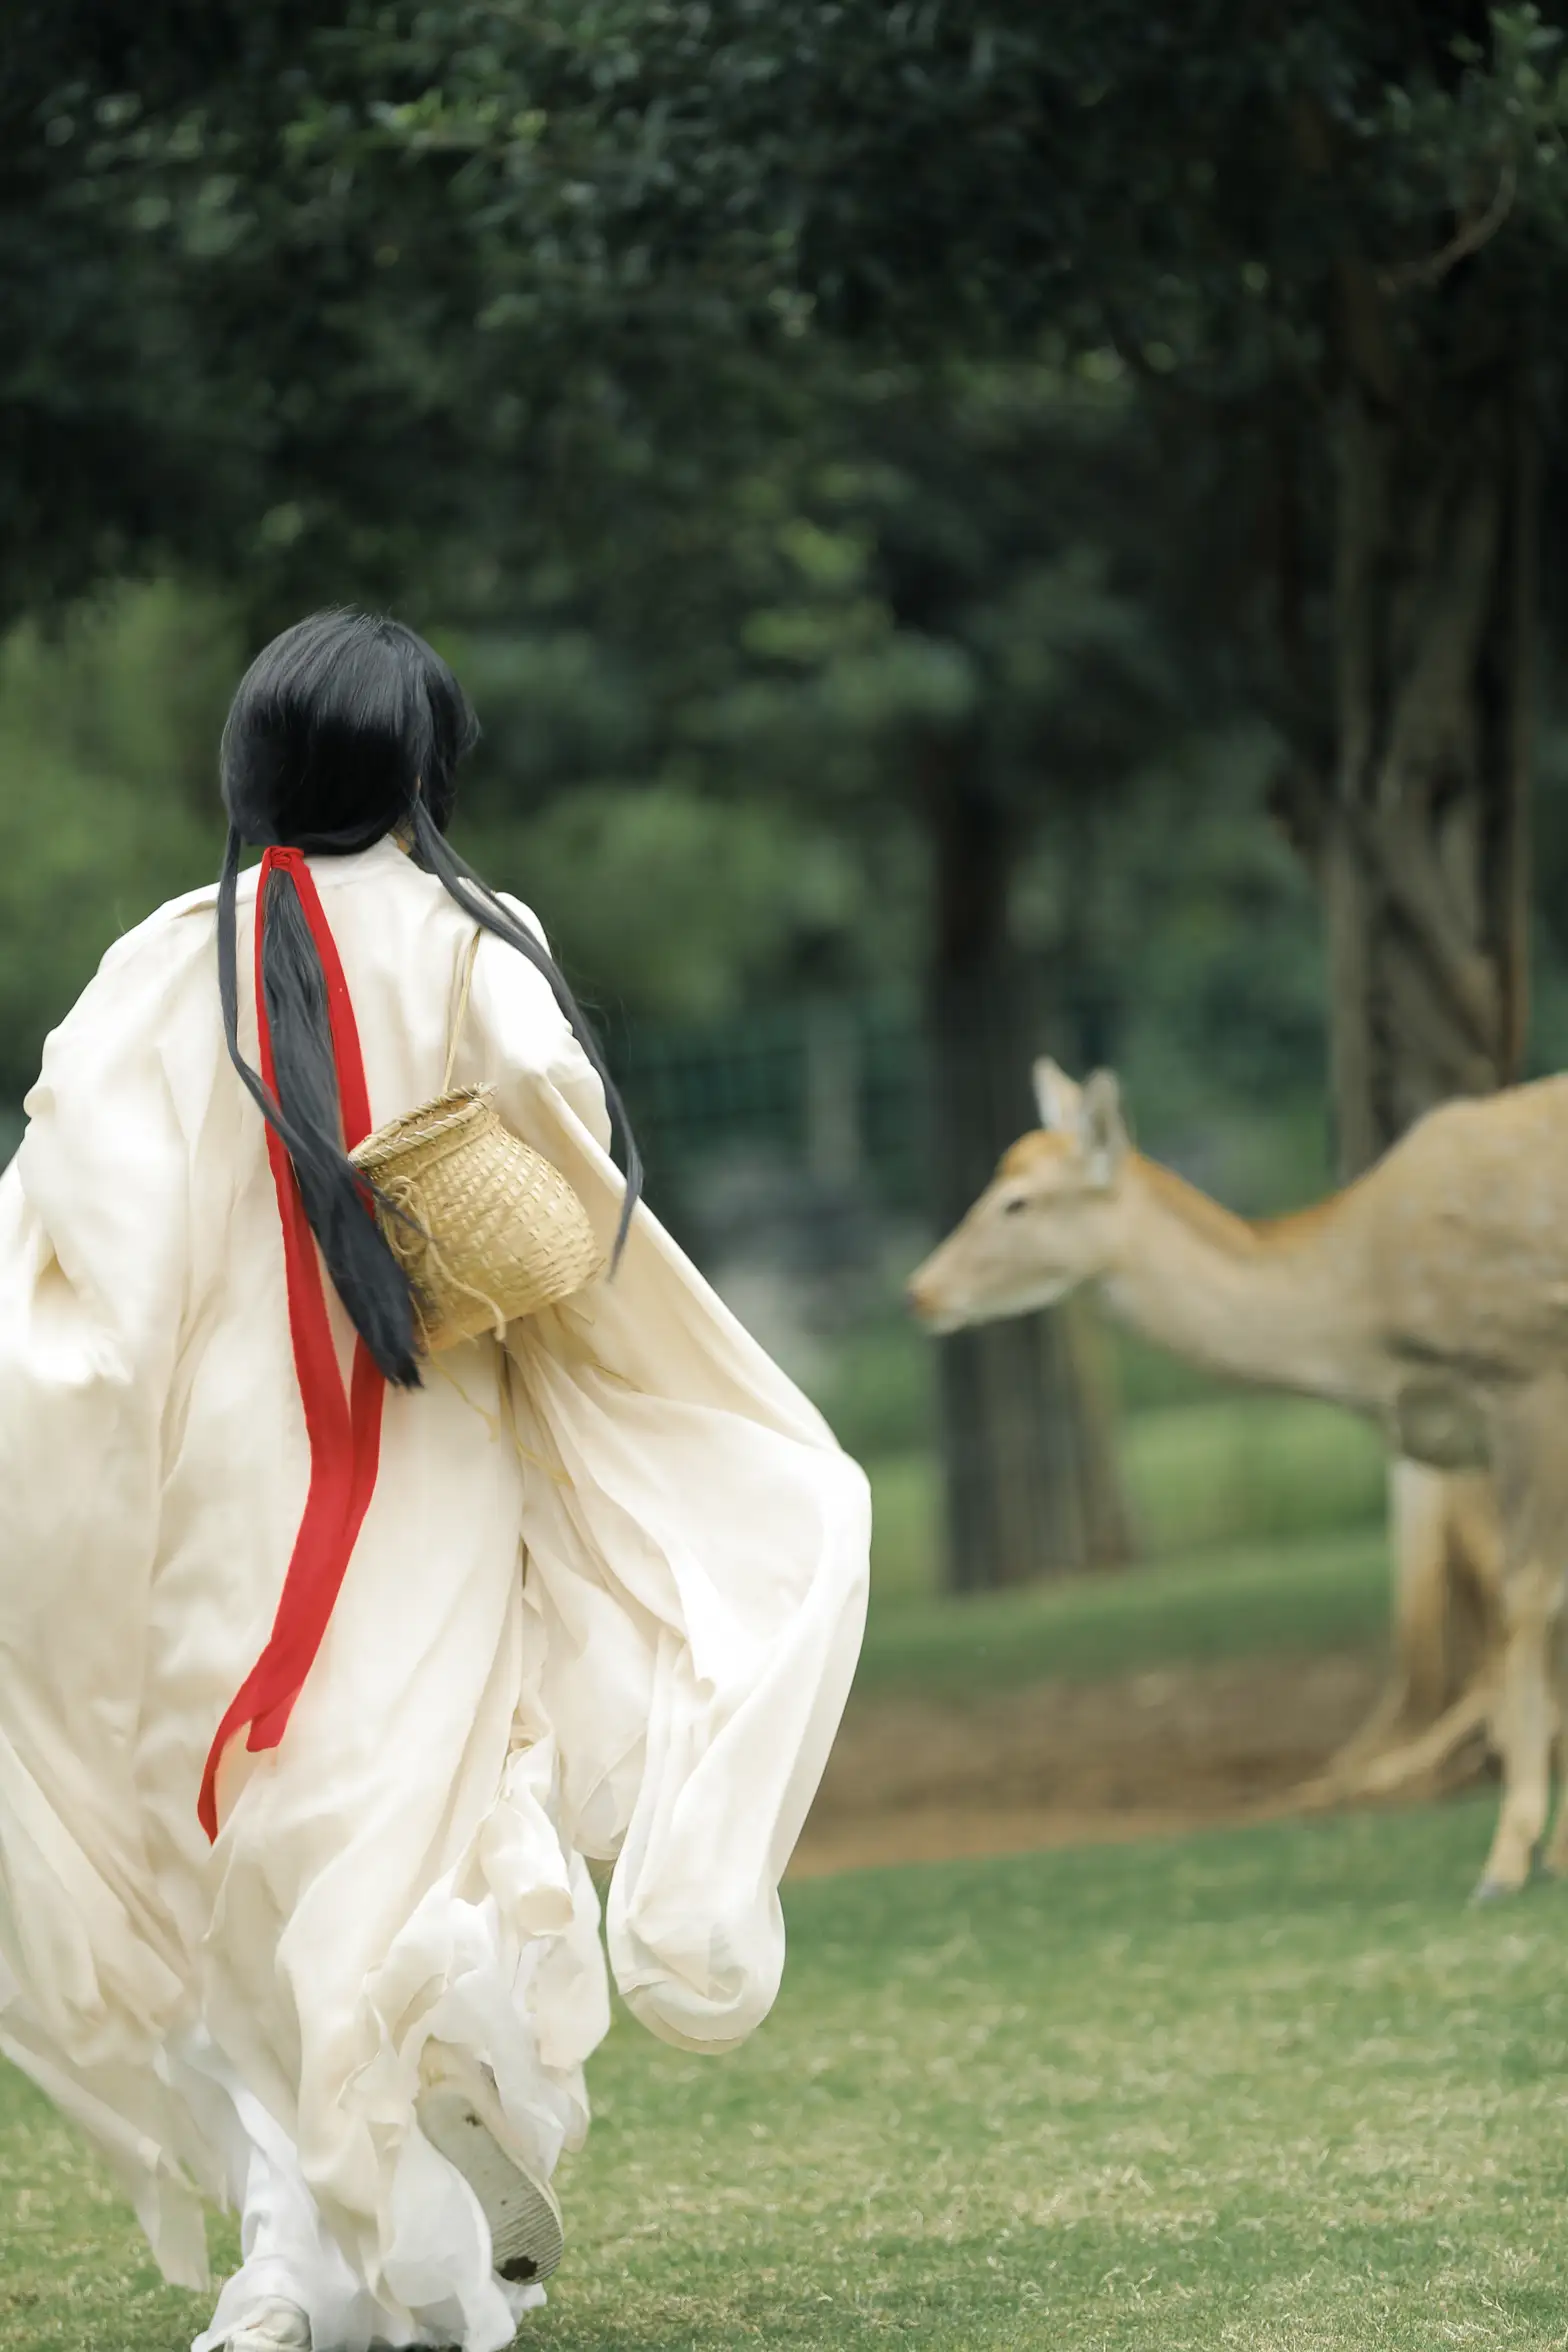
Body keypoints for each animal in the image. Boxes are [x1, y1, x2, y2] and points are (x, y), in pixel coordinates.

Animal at [907, 1058, 1568, 1901]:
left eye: (1016, 1200)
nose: (920, 1291)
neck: (1372, 1330)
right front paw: (1551, 1852)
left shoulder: (1531, 1377)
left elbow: (1528, 1602)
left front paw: (1508, 1860)